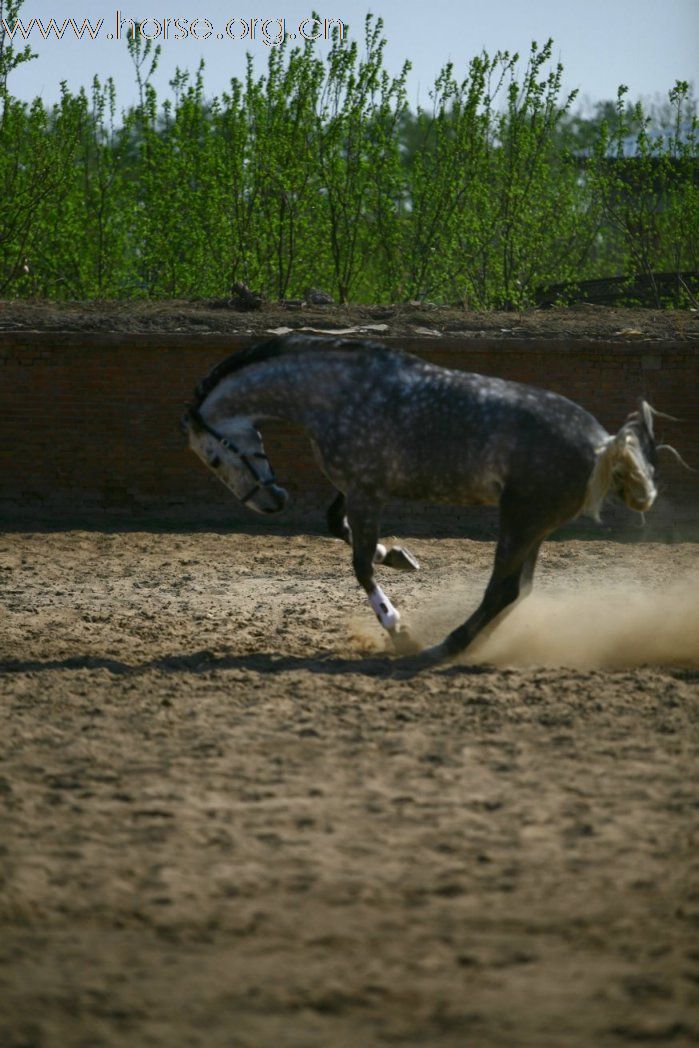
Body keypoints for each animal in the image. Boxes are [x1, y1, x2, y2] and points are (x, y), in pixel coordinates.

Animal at [184, 331, 670, 666]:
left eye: (213, 458)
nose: (271, 503)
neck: (337, 395)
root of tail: (603, 445)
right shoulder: (358, 488)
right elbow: (337, 526)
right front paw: (400, 556)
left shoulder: (365, 492)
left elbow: (360, 564)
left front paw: (397, 627)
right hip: (533, 526)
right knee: (517, 591)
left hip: (520, 520)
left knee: (502, 590)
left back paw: (439, 648)